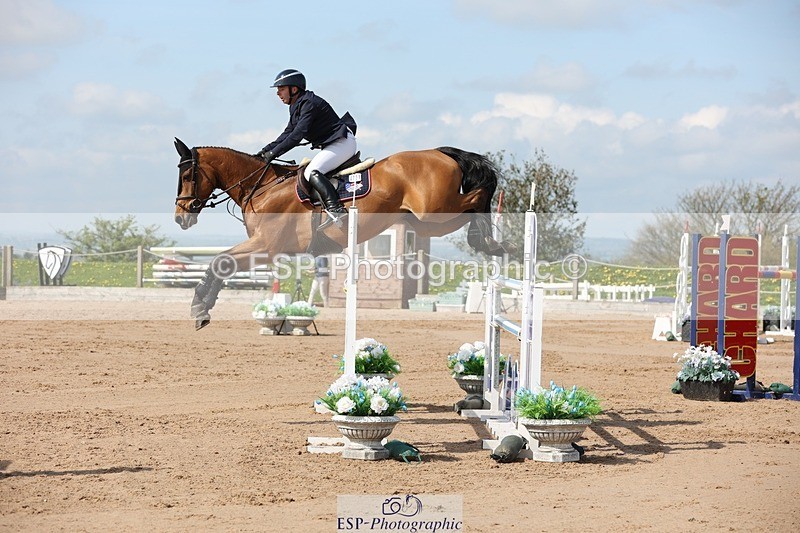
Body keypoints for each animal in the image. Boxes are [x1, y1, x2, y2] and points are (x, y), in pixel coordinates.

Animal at [173, 138, 511, 329]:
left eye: (188, 175)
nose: (180, 216)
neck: (263, 186)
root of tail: (442, 153)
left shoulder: (265, 246)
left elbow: (219, 261)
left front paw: (199, 307)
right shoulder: (265, 248)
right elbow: (221, 263)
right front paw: (201, 308)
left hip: (435, 210)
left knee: (478, 195)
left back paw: (490, 241)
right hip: (427, 222)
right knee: (470, 205)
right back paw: (489, 242)